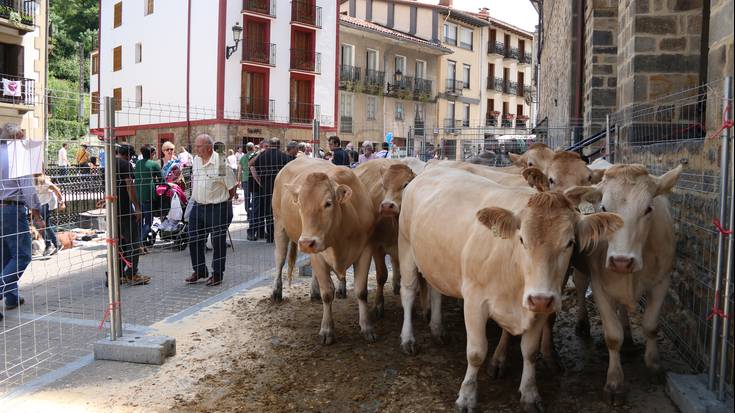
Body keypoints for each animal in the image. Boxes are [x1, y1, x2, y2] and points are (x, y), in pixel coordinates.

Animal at [274, 156, 382, 342]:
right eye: (299, 203)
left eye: (328, 203)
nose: (306, 242)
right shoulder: (318, 255)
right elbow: (327, 293)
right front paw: (326, 329)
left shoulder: (366, 249)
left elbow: (361, 291)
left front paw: (367, 327)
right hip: (279, 225)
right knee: (280, 260)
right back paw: (276, 292)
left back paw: (314, 292)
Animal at [396, 166, 620, 410]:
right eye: (521, 239)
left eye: (570, 242)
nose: (541, 298)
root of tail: (432, 168)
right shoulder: (474, 301)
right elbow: (476, 352)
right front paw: (467, 396)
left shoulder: (538, 308)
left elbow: (529, 352)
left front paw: (530, 393)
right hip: (406, 247)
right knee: (408, 292)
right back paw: (408, 339)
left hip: (435, 261)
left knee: (436, 290)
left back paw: (437, 329)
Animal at [568, 163, 684, 400]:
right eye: (603, 208)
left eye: (648, 209)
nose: (621, 261)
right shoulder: (600, 286)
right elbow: (613, 336)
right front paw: (614, 382)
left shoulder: (662, 282)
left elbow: (651, 326)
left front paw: (654, 366)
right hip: (582, 271)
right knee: (580, 287)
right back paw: (583, 323)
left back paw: (629, 337)